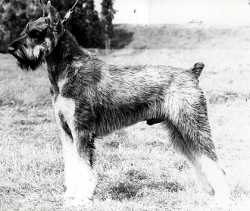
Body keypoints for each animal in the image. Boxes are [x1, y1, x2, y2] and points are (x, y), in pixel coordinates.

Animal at [8, 0, 229, 208]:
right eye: (25, 28)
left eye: (35, 33)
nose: (10, 48)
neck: (67, 70)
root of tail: (192, 73)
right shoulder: (67, 133)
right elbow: (71, 166)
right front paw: (70, 196)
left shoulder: (82, 132)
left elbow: (84, 168)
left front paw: (81, 198)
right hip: (180, 132)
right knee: (200, 160)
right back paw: (209, 193)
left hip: (193, 127)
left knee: (214, 162)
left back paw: (222, 197)